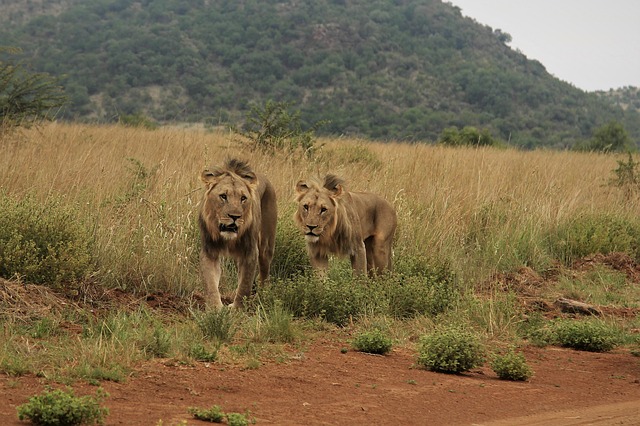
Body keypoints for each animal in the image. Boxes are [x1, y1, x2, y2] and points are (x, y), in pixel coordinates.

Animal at [199, 158, 276, 308]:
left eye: (243, 198)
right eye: (223, 196)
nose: (235, 216)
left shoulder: (250, 251)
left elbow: (245, 284)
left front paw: (237, 308)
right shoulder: (209, 251)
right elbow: (210, 282)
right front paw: (215, 307)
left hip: (266, 245)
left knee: (264, 272)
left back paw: (262, 296)